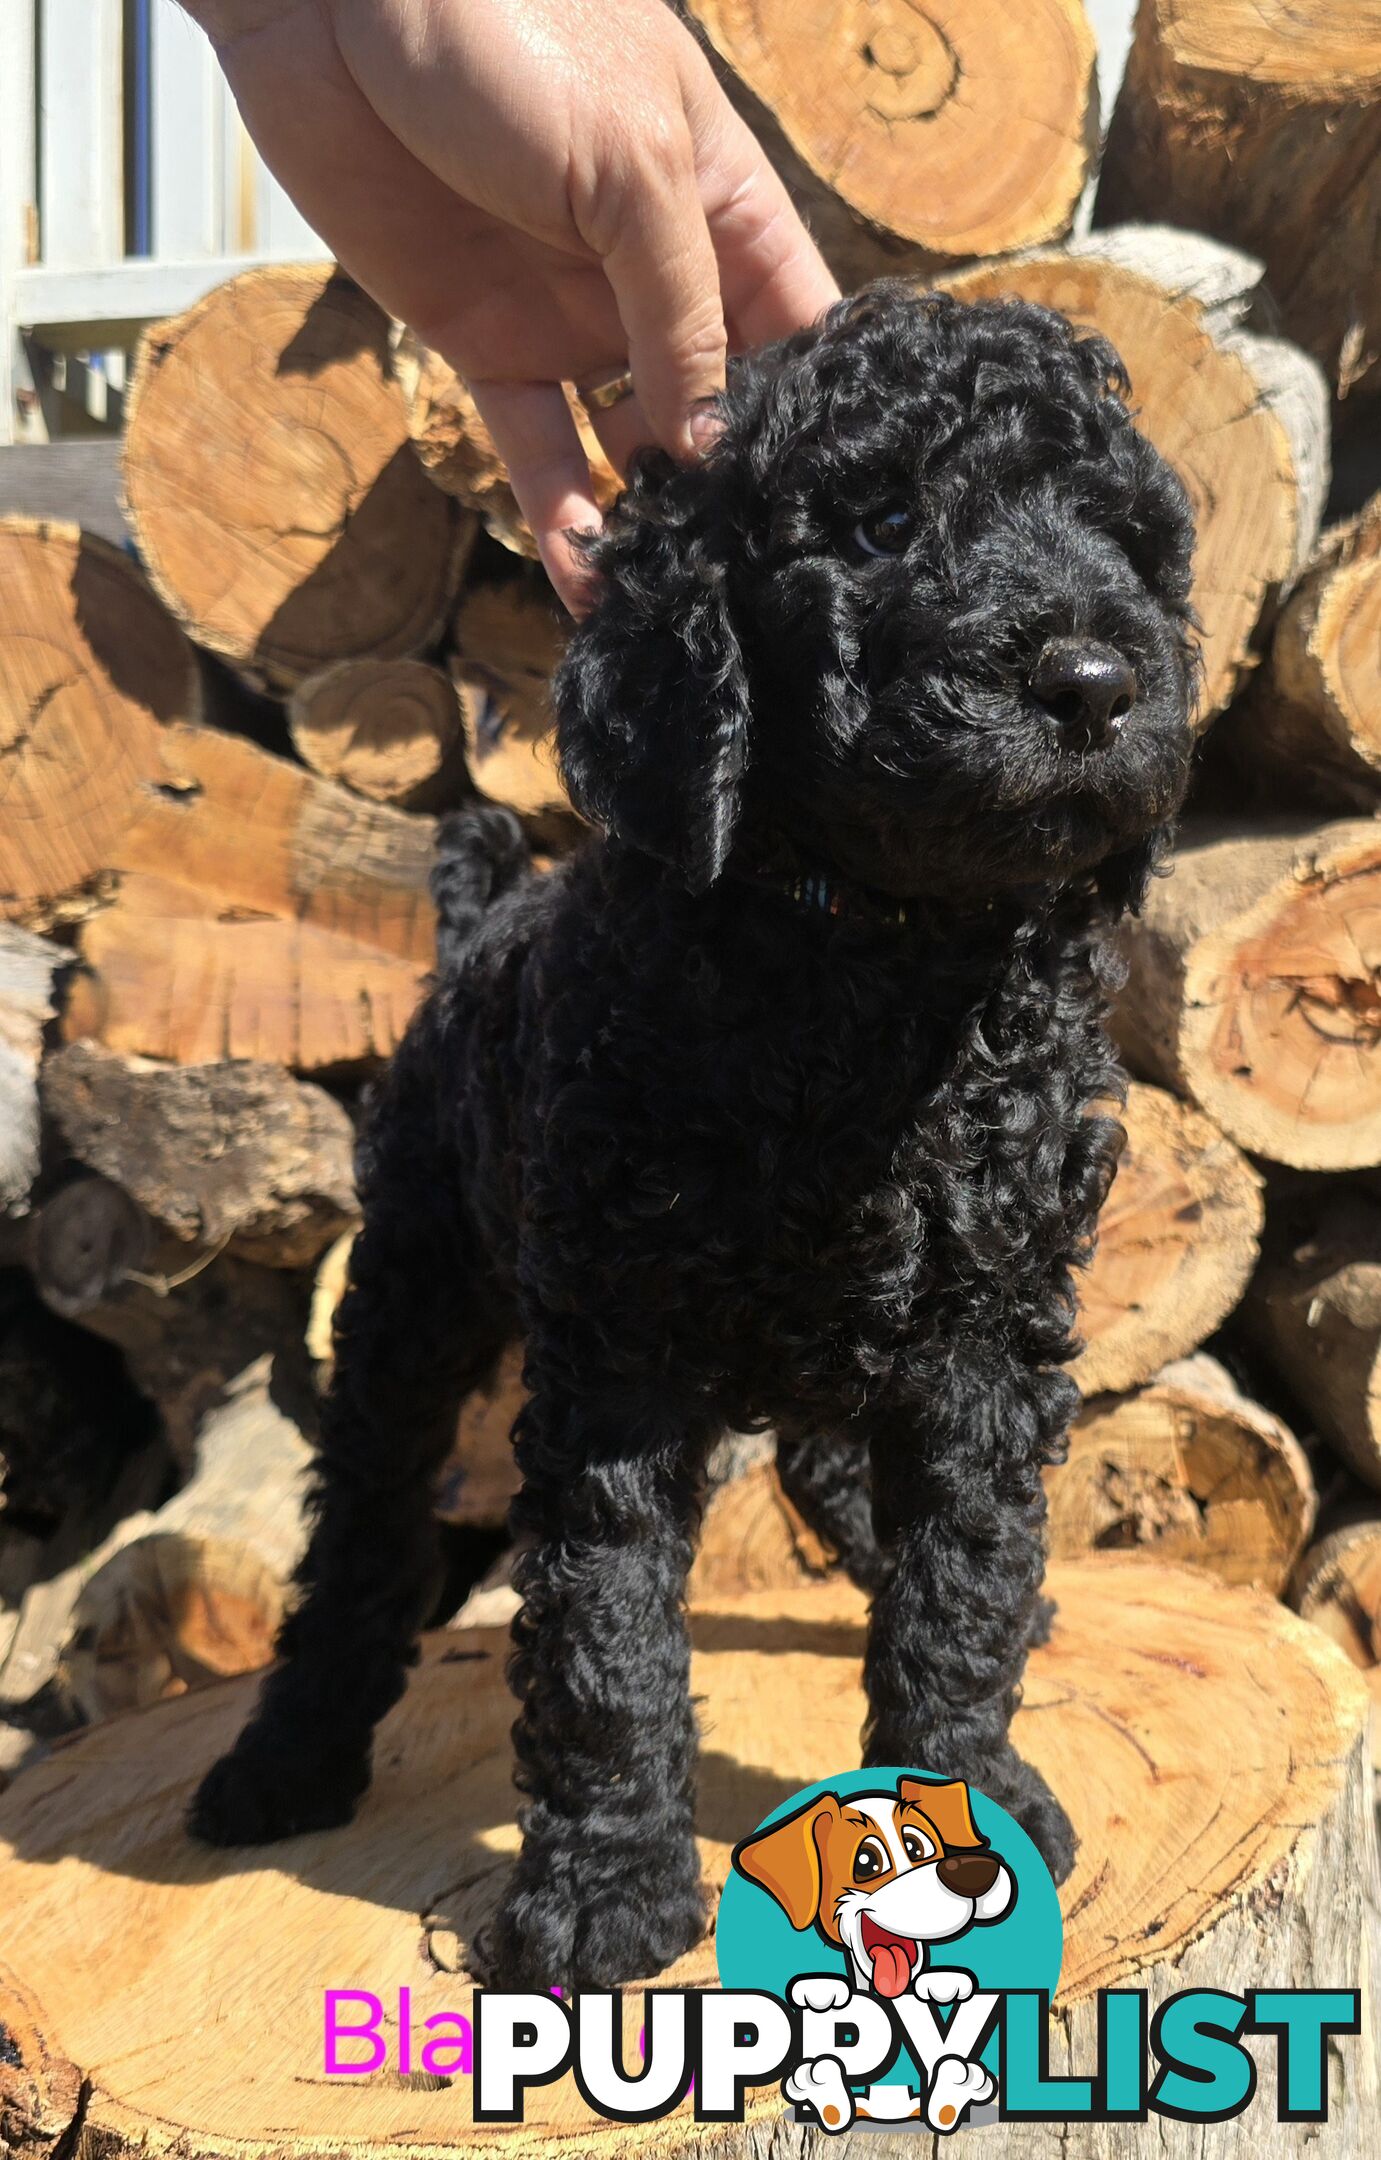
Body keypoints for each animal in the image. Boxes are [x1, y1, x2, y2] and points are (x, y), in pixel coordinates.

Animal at [194, 287, 1201, 1987]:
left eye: (1128, 541)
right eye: (882, 521)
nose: (1088, 680)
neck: (866, 959)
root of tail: (482, 920)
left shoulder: (983, 1326)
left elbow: (965, 1569)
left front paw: (973, 1789)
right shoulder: (618, 1352)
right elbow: (603, 1630)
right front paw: (603, 1889)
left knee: (828, 1450)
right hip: (413, 1284)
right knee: (365, 1530)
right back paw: (285, 1757)